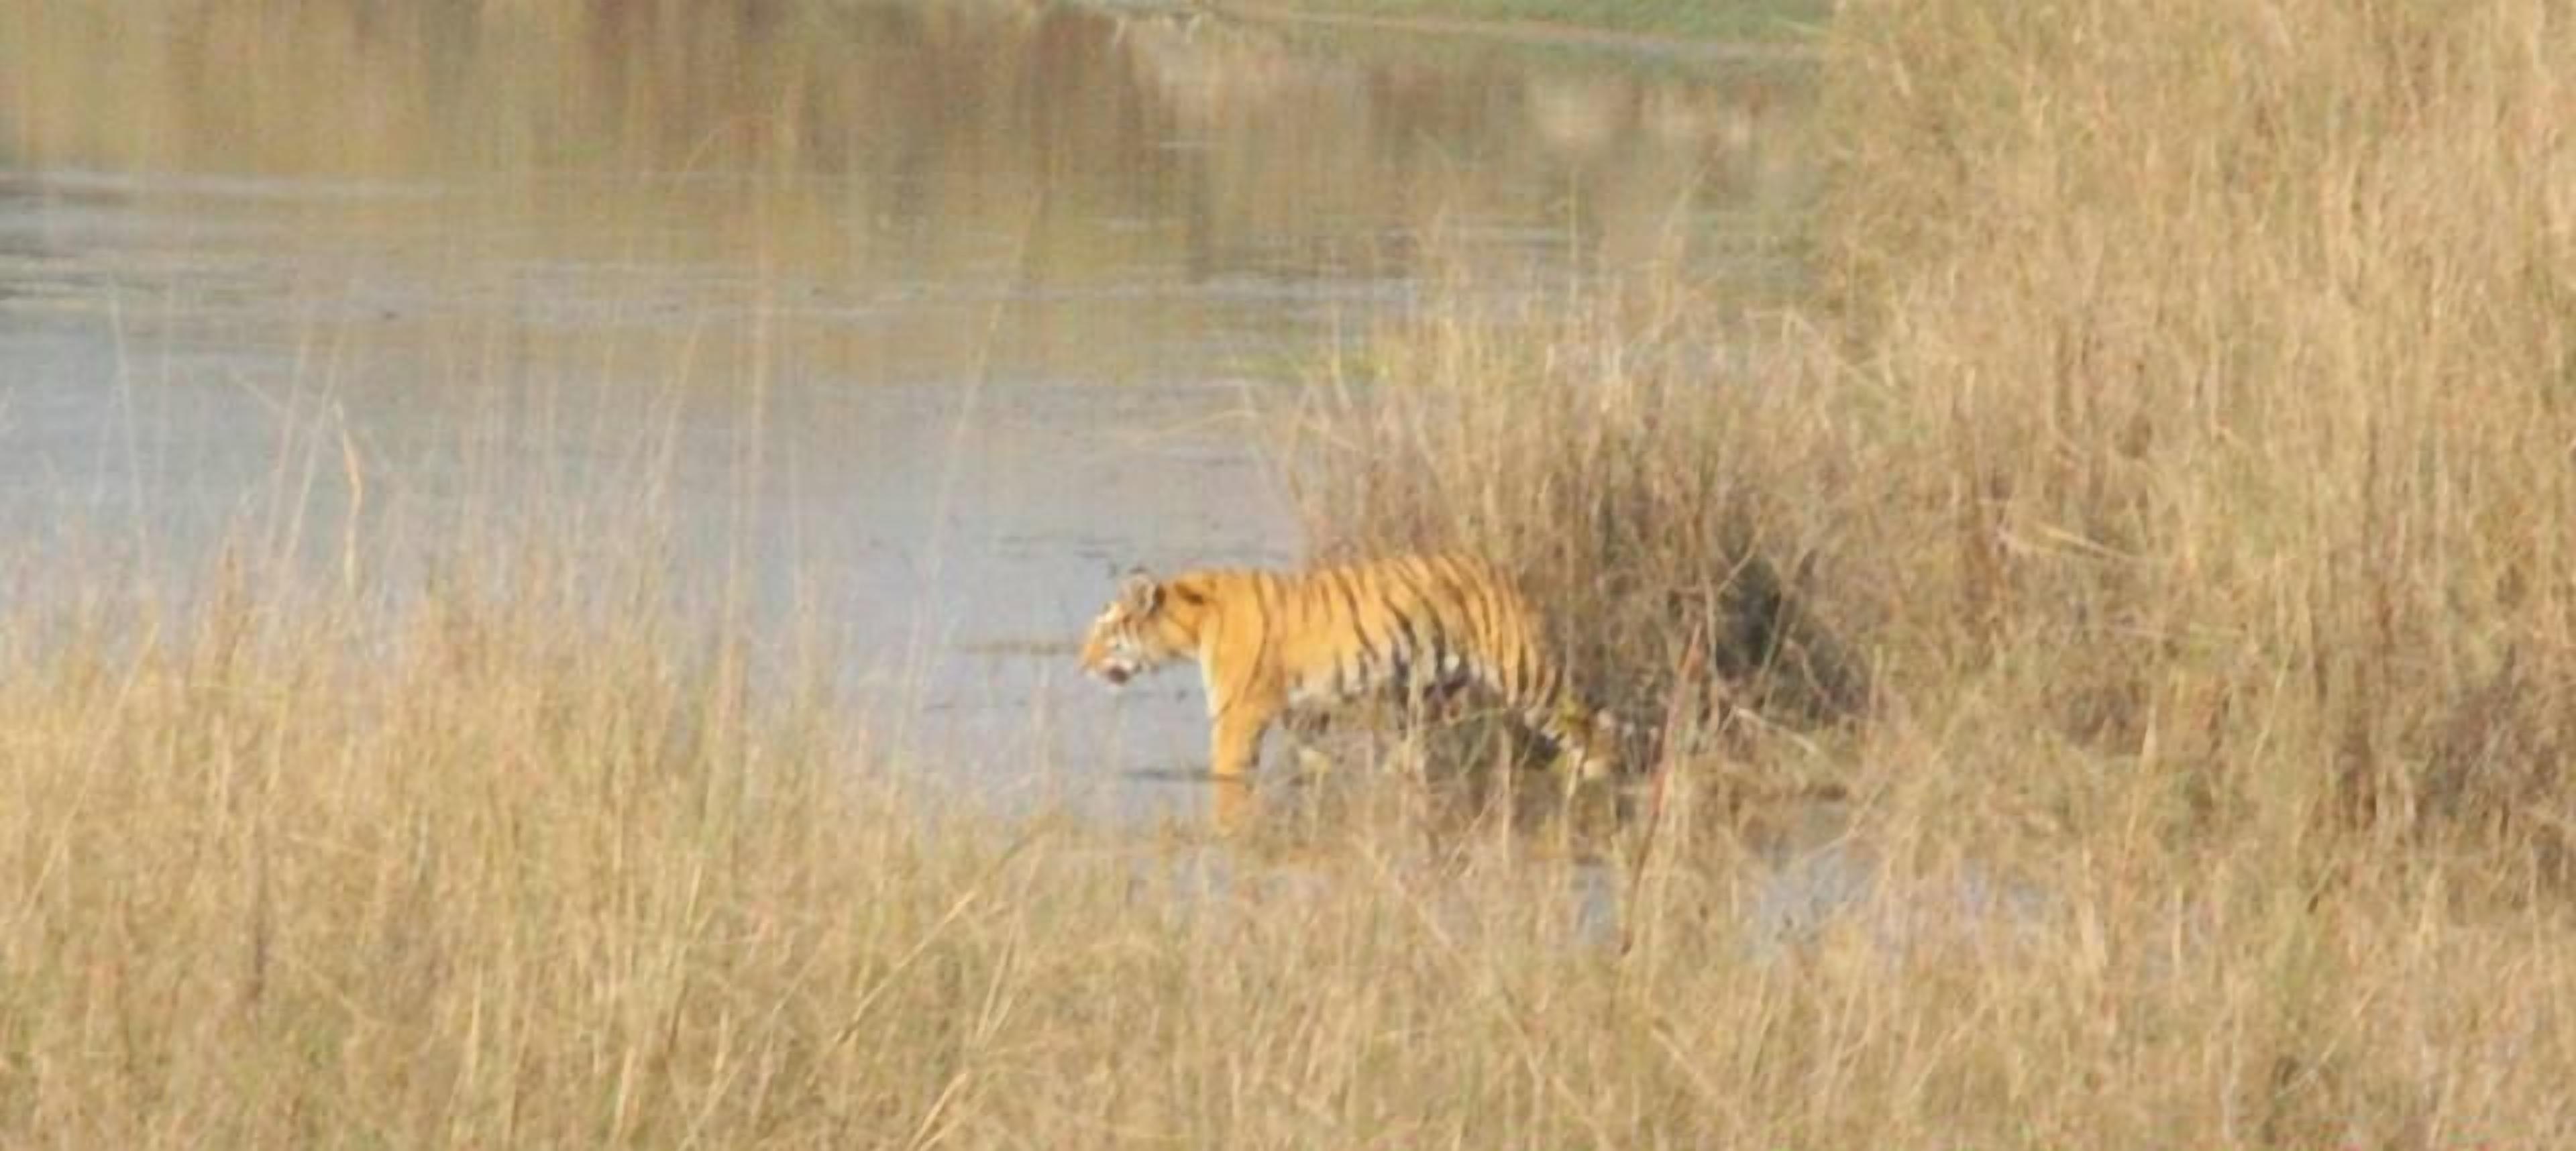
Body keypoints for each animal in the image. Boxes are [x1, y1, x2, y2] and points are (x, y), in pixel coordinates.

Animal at [1078, 553, 1623, 783]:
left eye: (1105, 631)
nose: (1081, 665)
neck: (1191, 625)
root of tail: (1505, 574)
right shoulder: (1299, 710)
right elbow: (1312, 753)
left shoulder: (1237, 715)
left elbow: (1227, 768)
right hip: (1424, 693)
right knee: (1413, 752)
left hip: (1523, 673)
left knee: (1588, 721)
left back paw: (1589, 771)